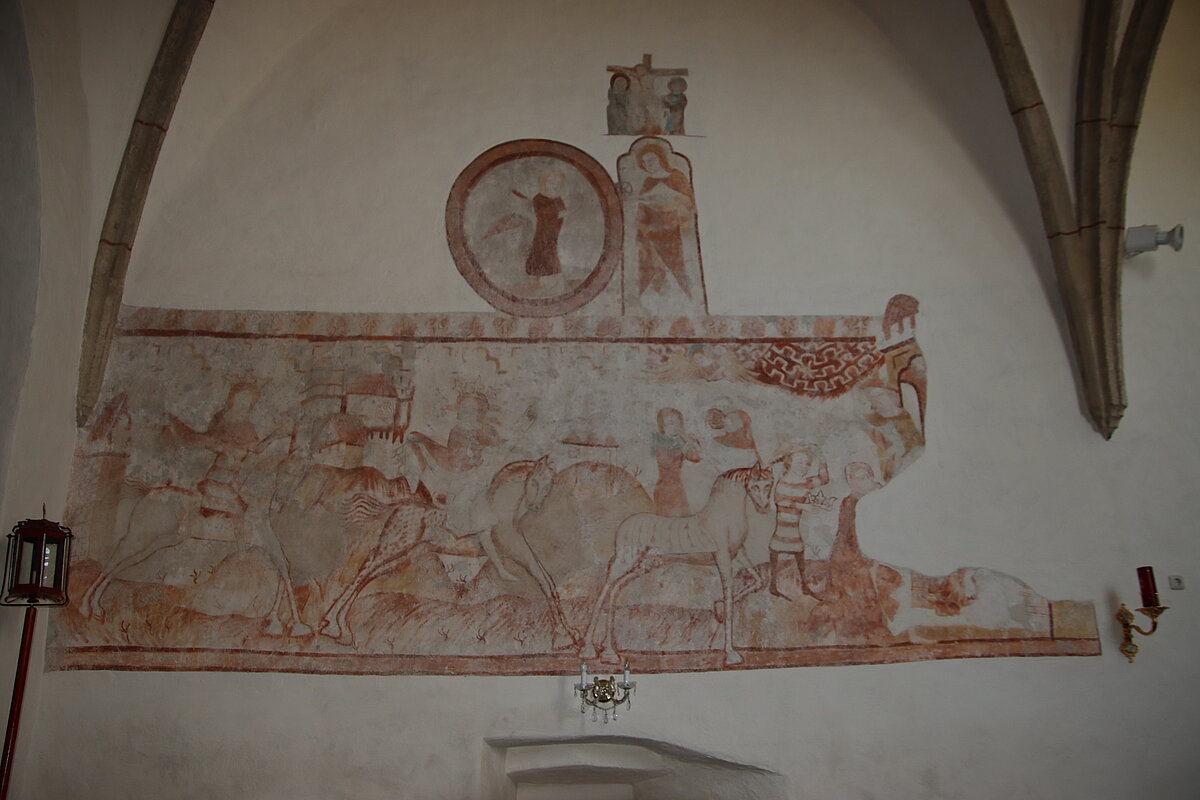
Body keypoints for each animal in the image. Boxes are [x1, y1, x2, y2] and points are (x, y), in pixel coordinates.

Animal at [580, 463, 776, 666]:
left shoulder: (738, 555)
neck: (723, 517)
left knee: (615, 590)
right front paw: (731, 654)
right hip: (626, 560)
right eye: (755, 485)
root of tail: (624, 525)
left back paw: (610, 653)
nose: (763, 508)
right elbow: (729, 599)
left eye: (769, 484)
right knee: (605, 590)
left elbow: (758, 581)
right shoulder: (722, 558)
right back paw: (589, 650)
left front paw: (718, 610)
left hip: (646, 564)